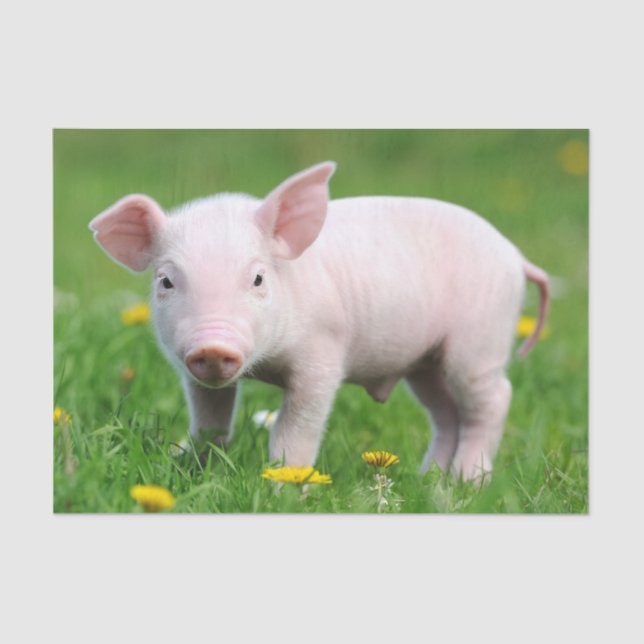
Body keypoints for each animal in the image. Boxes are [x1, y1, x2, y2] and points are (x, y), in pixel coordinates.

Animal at [89, 161, 549, 481]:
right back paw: (429, 481)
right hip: (426, 363)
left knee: (494, 399)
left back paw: (467, 482)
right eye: (166, 281)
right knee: (446, 414)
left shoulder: (322, 357)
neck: (265, 364)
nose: (213, 346)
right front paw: (188, 466)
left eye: (258, 278)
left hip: (480, 340)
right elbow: (209, 423)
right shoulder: (195, 375)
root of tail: (516, 256)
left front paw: (285, 486)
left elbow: (294, 431)